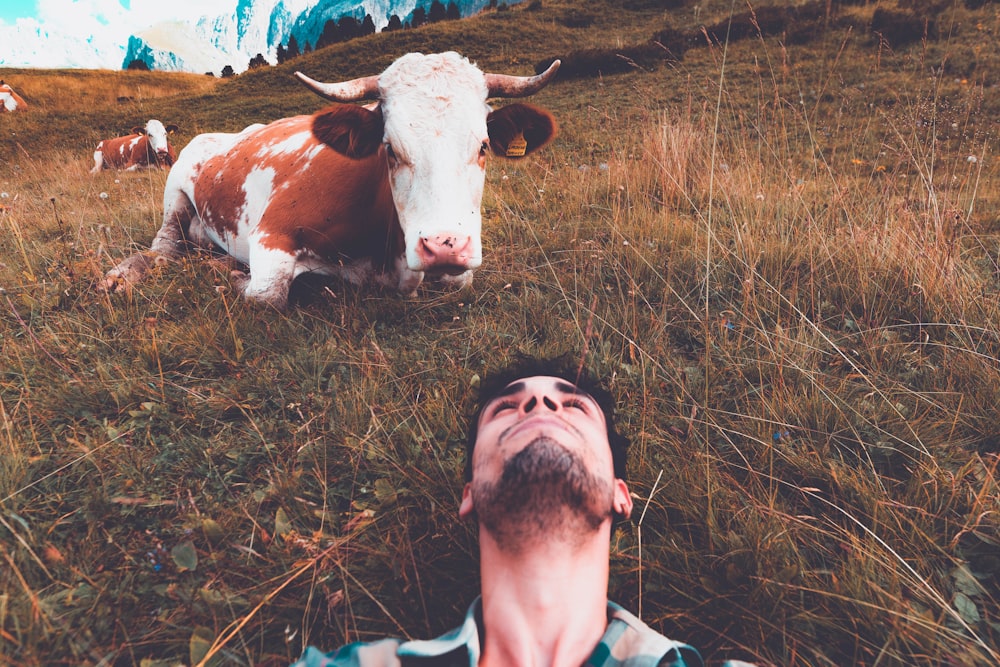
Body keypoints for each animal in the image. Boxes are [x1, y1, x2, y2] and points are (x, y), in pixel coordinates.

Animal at [104, 52, 560, 310]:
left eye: (483, 146)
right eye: (389, 148)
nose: (444, 246)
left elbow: (459, 281)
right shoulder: (271, 233)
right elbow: (267, 294)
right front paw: (232, 277)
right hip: (175, 197)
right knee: (163, 249)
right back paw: (121, 277)